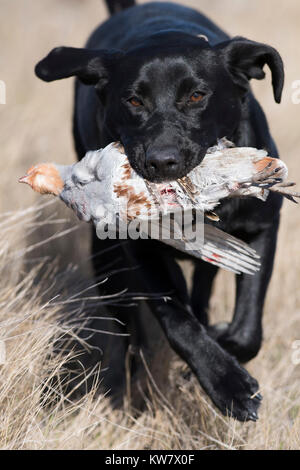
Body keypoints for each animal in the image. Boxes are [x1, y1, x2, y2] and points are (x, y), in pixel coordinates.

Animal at [35, 0, 284, 418]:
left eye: (197, 95)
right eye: (133, 100)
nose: (162, 161)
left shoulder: (260, 229)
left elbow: (247, 330)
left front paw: (222, 357)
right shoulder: (141, 251)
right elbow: (176, 319)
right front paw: (228, 385)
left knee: (201, 294)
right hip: (106, 261)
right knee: (132, 333)